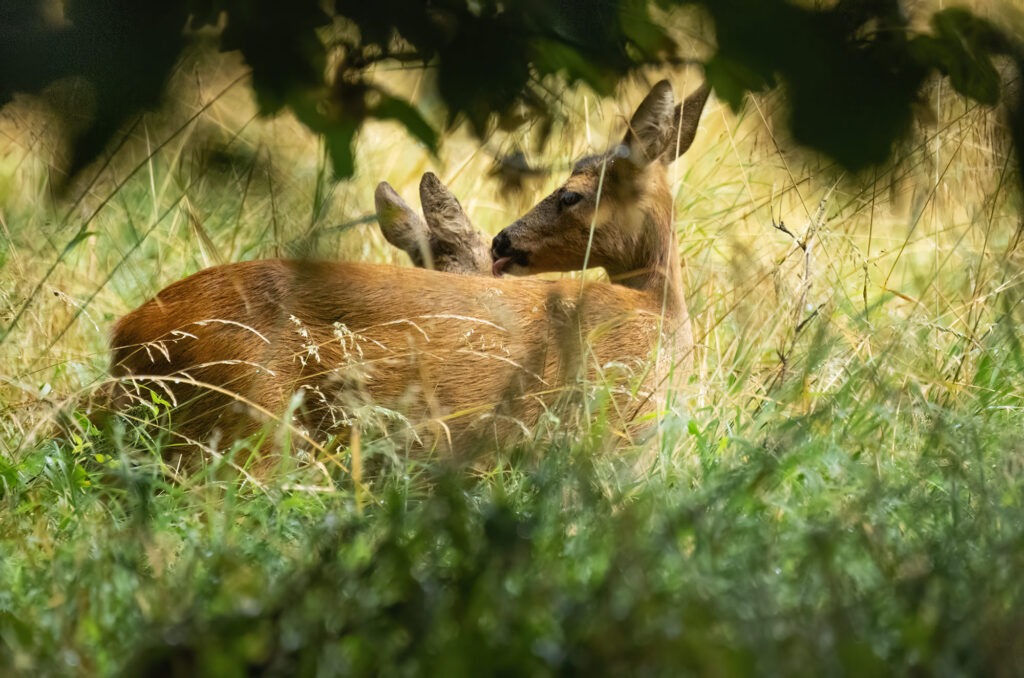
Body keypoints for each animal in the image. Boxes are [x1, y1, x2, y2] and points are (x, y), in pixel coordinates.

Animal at [108, 80, 708, 462]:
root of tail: (125, 337)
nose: (503, 241)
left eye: (570, 195)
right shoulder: (609, 426)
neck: (656, 313)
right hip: (252, 415)